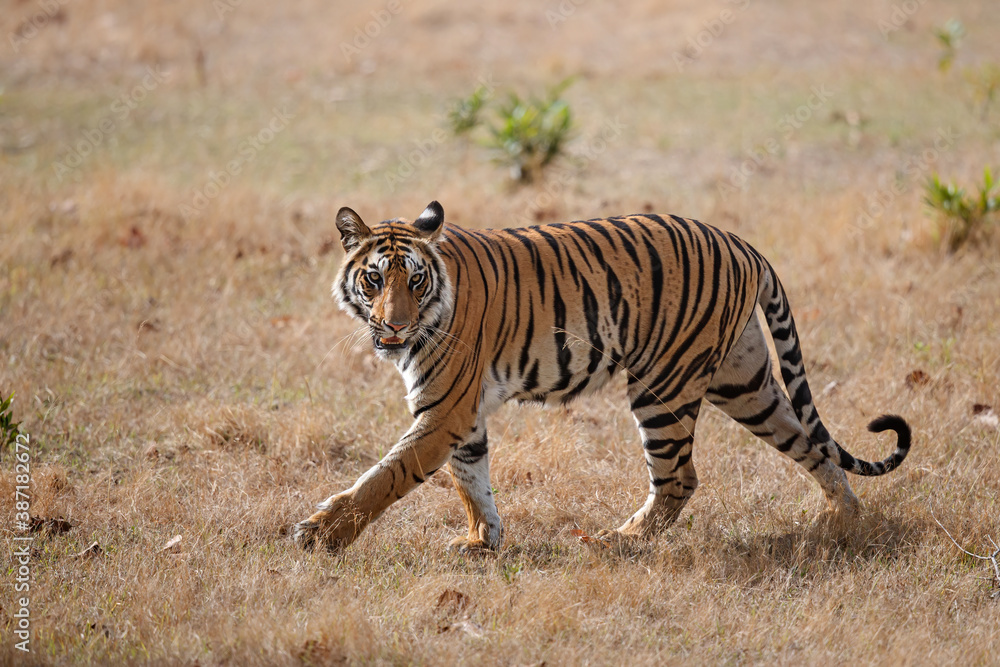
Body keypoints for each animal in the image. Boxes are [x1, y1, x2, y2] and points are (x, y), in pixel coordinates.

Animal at [292, 201, 911, 553]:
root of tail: (741, 243)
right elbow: (471, 480)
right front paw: (482, 542)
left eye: (415, 281)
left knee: (680, 478)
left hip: (664, 386)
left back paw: (620, 542)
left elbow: (384, 477)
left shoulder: (444, 409)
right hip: (744, 381)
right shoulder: (461, 416)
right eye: (374, 280)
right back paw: (844, 522)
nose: (395, 325)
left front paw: (320, 535)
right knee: (813, 446)